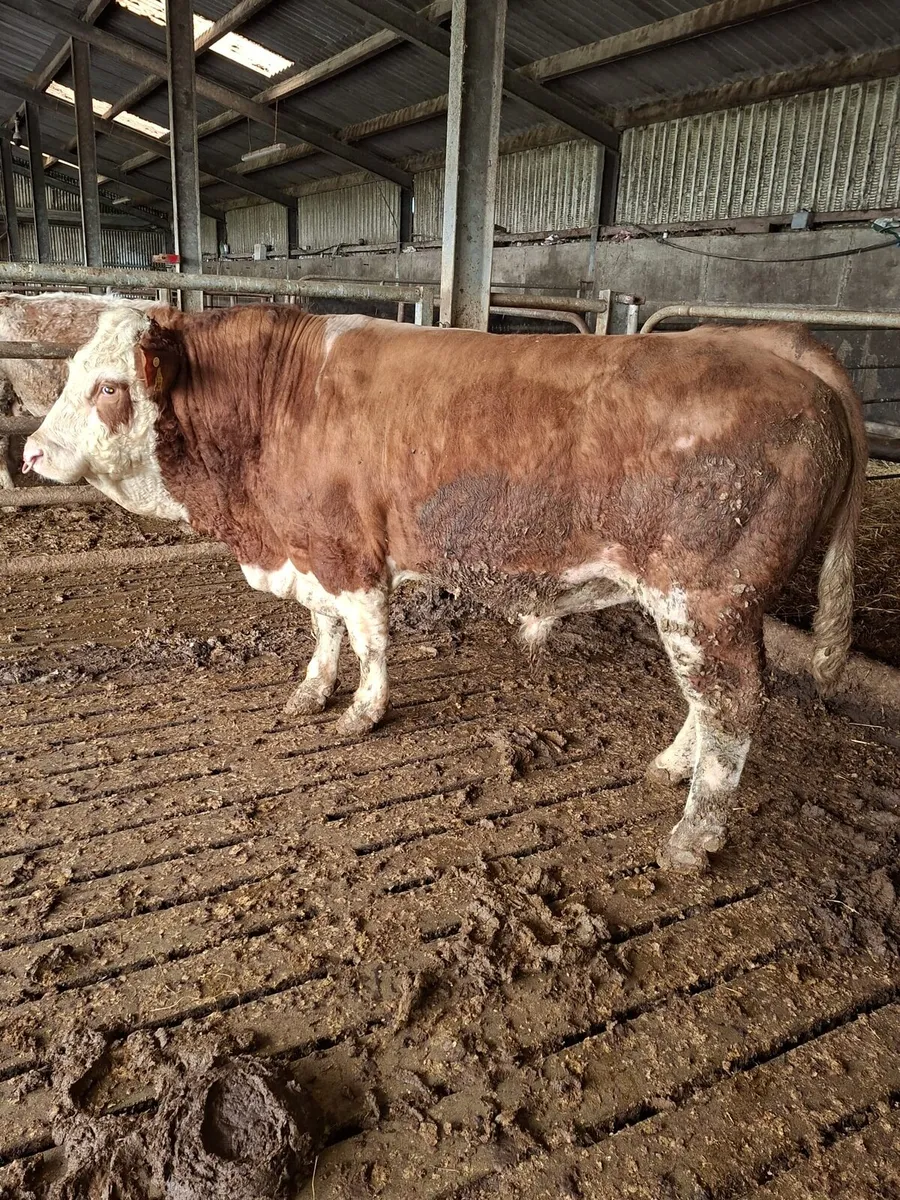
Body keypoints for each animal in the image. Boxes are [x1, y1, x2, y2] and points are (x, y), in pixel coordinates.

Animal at [23, 305, 866, 872]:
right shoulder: (310, 551)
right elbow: (324, 630)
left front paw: (362, 712)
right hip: (698, 610)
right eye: (66, 374)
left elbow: (368, 637)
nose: (28, 452)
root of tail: (771, 348)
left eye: (107, 388)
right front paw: (311, 692)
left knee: (732, 704)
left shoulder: (350, 552)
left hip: (708, 599)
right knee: (708, 701)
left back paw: (694, 834)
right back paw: (673, 767)